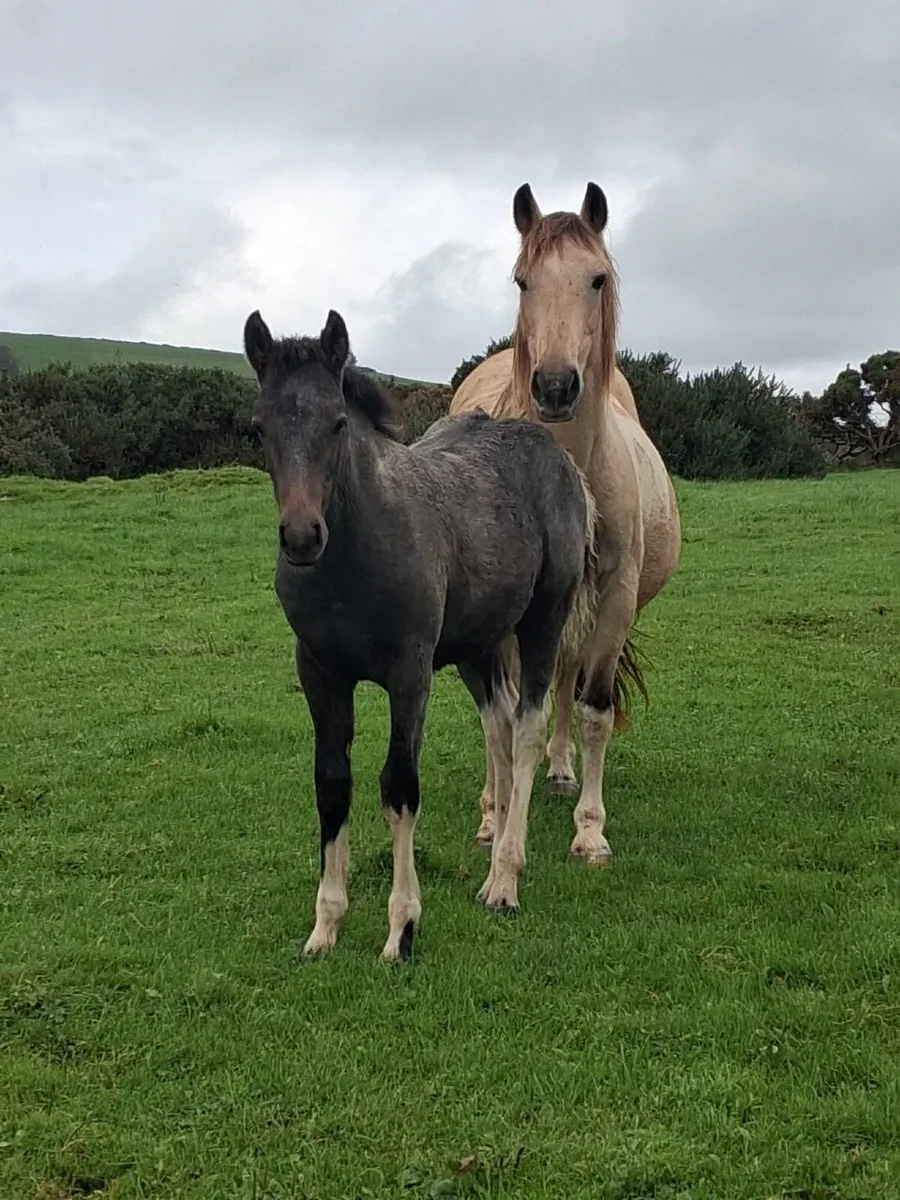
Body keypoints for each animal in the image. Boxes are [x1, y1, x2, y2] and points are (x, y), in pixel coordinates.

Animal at [243, 307, 601, 961]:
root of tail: (560, 461)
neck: (355, 558)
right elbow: (332, 785)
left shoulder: (409, 675)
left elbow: (399, 787)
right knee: (500, 725)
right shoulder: (320, 674)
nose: (302, 535)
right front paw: (324, 928)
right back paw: (496, 857)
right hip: (476, 647)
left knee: (529, 727)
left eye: (338, 423)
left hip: (544, 619)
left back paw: (505, 881)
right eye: (258, 430)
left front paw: (401, 929)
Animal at [450, 182, 682, 865]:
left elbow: (593, 707)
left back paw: (556, 769)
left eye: (597, 278)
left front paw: (590, 829)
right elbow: (501, 718)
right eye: (522, 280)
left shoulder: (615, 597)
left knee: (565, 678)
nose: (554, 386)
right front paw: (498, 819)